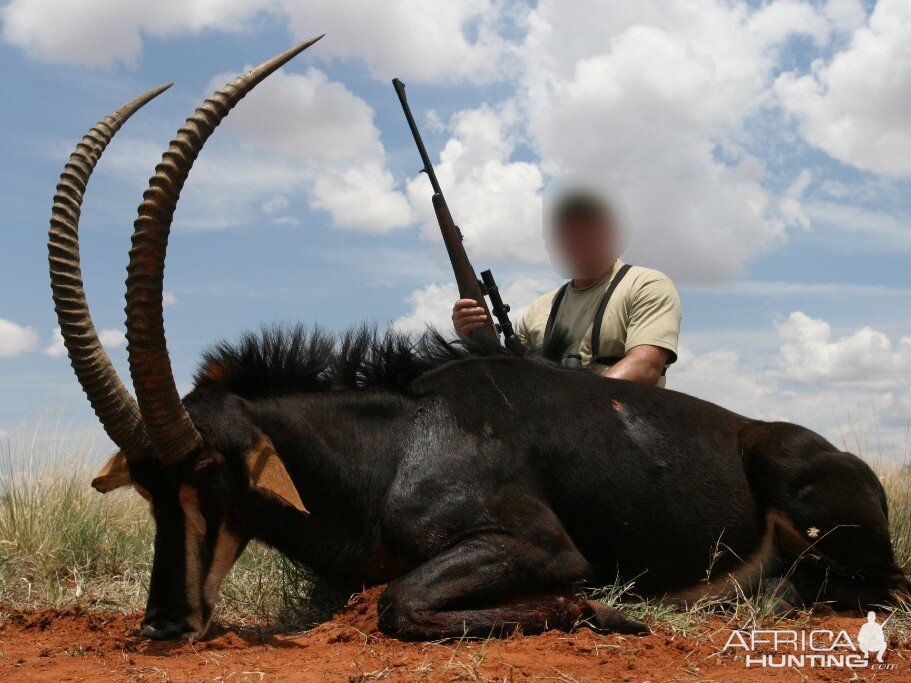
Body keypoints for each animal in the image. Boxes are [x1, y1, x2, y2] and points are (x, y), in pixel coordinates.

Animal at [51, 40, 911, 644]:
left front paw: (606, 611)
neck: (394, 444)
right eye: (148, 488)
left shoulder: (536, 544)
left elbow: (399, 603)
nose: (165, 624)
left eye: (214, 476)